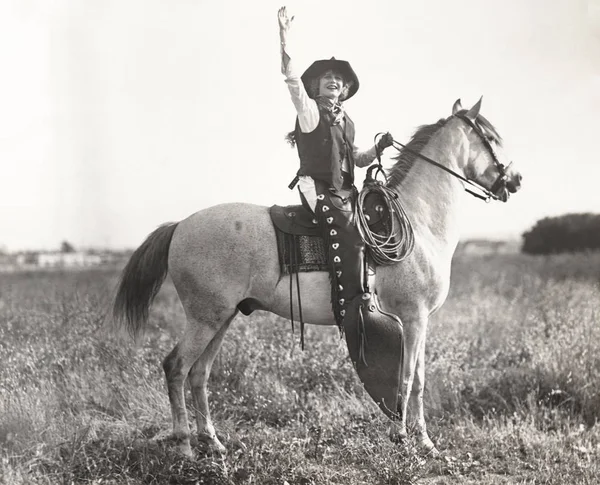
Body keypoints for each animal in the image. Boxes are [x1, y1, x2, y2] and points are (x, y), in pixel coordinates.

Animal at [111, 99, 520, 458]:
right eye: (492, 138)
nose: (514, 180)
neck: (419, 220)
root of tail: (180, 225)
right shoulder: (414, 317)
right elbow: (409, 379)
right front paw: (414, 440)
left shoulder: (417, 321)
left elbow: (414, 375)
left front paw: (412, 437)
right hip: (205, 319)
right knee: (176, 367)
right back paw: (184, 446)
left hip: (221, 318)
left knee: (199, 373)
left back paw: (212, 442)